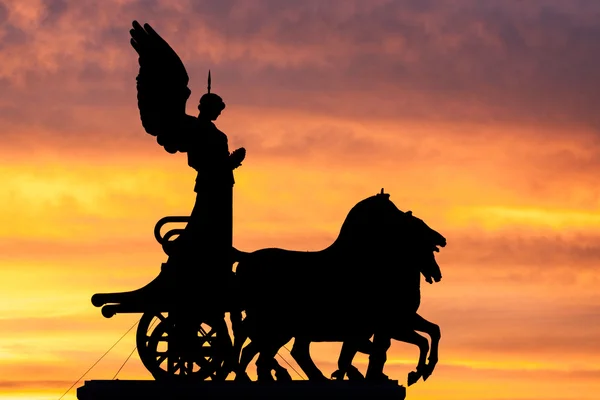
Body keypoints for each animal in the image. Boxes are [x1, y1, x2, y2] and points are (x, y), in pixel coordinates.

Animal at [229, 191, 446, 382]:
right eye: (395, 211)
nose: (441, 239)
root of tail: (247, 258)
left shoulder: (396, 322)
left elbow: (431, 332)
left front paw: (419, 371)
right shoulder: (390, 323)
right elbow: (371, 354)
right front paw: (416, 372)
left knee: (264, 351)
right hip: (277, 326)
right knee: (258, 348)